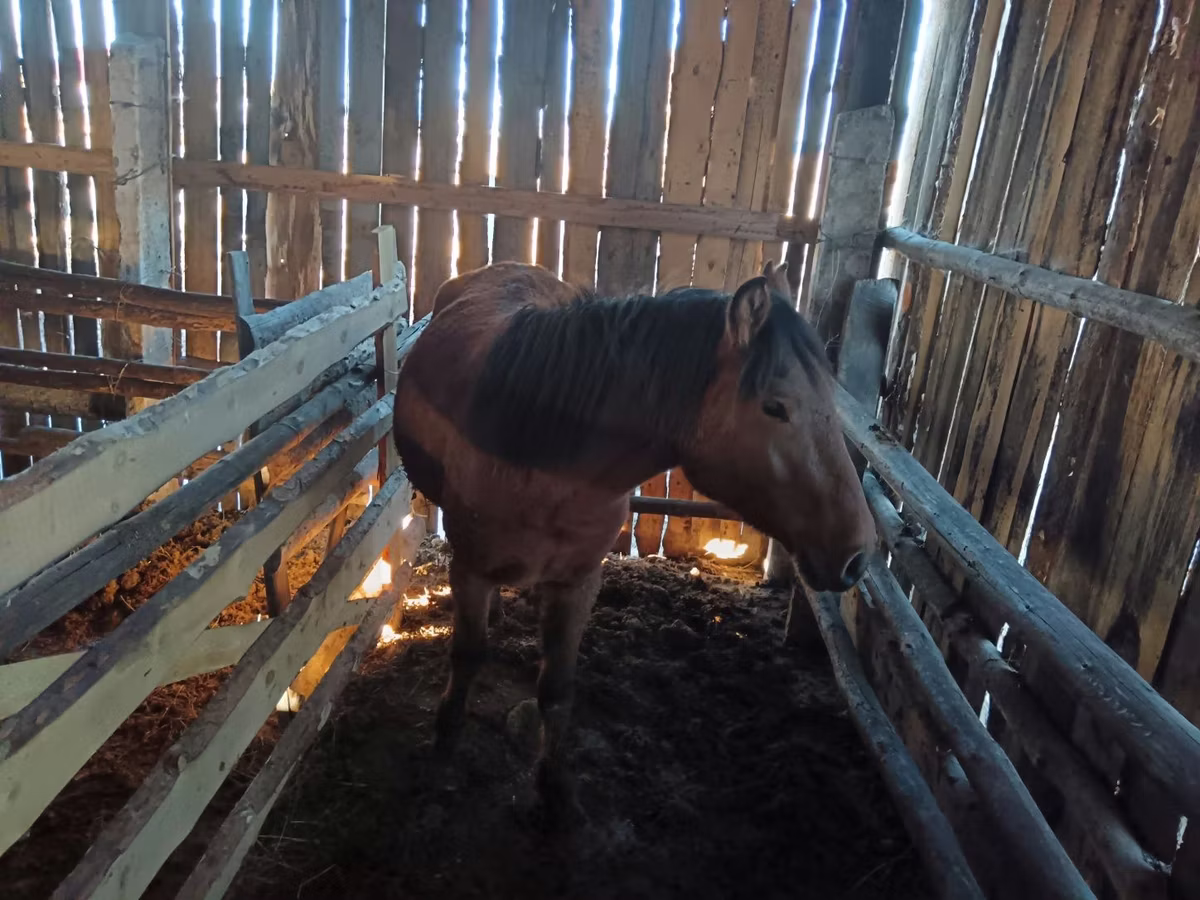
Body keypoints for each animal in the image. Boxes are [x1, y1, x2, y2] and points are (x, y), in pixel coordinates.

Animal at [391, 259, 876, 821]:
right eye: (775, 407)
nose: (857, 555)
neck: (546, 454)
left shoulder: (579, 581)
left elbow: (557, 687)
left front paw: (556, 792)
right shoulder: (469, 569)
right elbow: (467, 658)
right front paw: (443, 754)